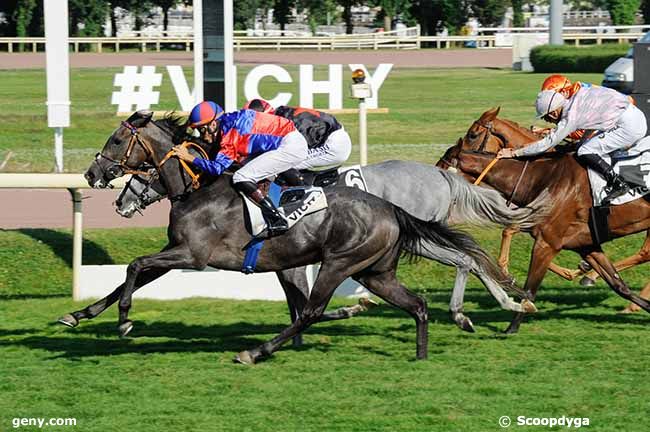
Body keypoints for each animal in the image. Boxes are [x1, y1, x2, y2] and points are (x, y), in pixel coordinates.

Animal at [68, 109, 512, 362]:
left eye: (117, 141)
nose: (93, 176)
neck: (200, 189)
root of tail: (390, 207)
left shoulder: (193, 255)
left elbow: (134, 265)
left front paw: (124, 321)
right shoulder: (180, 250)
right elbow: (132, 276)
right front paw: (79, 314)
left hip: (342, 262)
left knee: (317, 309)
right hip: (375, 271)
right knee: (417, 301)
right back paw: (425, 350)